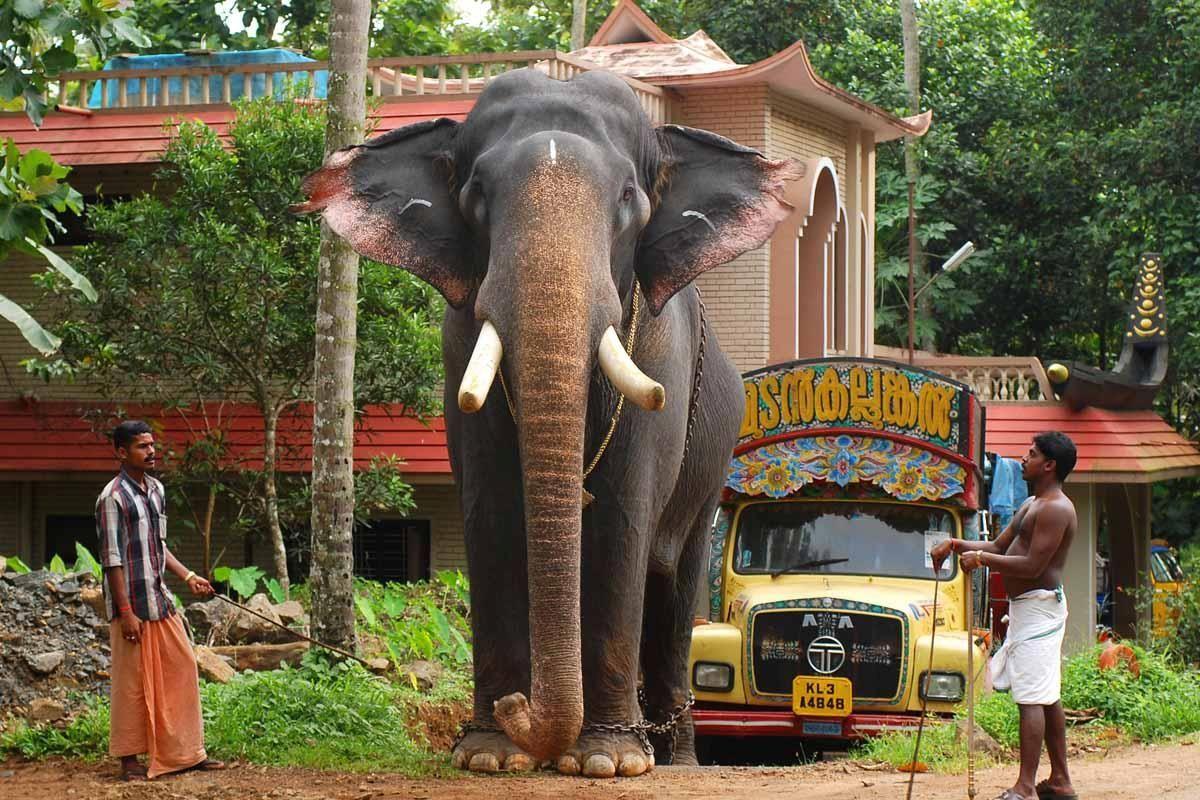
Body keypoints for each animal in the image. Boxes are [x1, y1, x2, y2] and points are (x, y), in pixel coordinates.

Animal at [299, 68, 797, 777]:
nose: (520, 708)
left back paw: (675, 759)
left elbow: (619, 522)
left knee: (674, 586)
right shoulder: (459, 351)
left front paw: (610, 761)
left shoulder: (661, 363)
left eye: (628, 197)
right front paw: (489, 753)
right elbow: (491, 514)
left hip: (716, 457)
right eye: (477, 194)